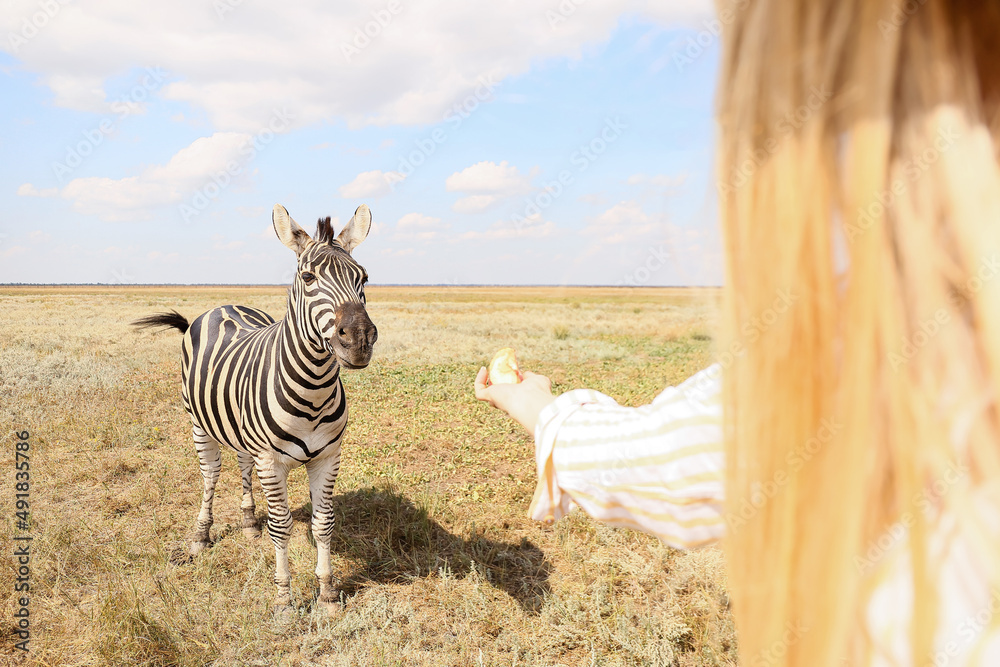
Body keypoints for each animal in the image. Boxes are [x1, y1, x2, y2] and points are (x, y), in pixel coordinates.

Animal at [133, 204, 378, 616]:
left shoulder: (328, 457)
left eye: (363, 278)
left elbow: (324, 524)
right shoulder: (271, 461)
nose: (359, 340)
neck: (314, 389)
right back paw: (201, 535)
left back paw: (248, 521)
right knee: (210, 478)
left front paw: (328, 593)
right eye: (308, 277)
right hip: (200, 426)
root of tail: (222, 305)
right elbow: (281, 525)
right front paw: (284, 600)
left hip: (243, 436)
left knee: (242, 466)